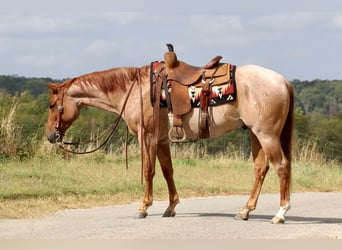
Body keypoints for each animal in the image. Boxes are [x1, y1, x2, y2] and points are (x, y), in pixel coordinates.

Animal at [45, 46, 294, 224]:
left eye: (52, 105)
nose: (50, 136)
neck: (134, 90)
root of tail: (283, 80)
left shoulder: (146, 137)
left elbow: (149, 170)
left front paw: (143, 207)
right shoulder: (162, 139)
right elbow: (167, 171)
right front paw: (171, 207)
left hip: (266, 134)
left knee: (281, 166)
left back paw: (280, 213)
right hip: (254, 133)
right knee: (261, 169)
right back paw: (245, 211)